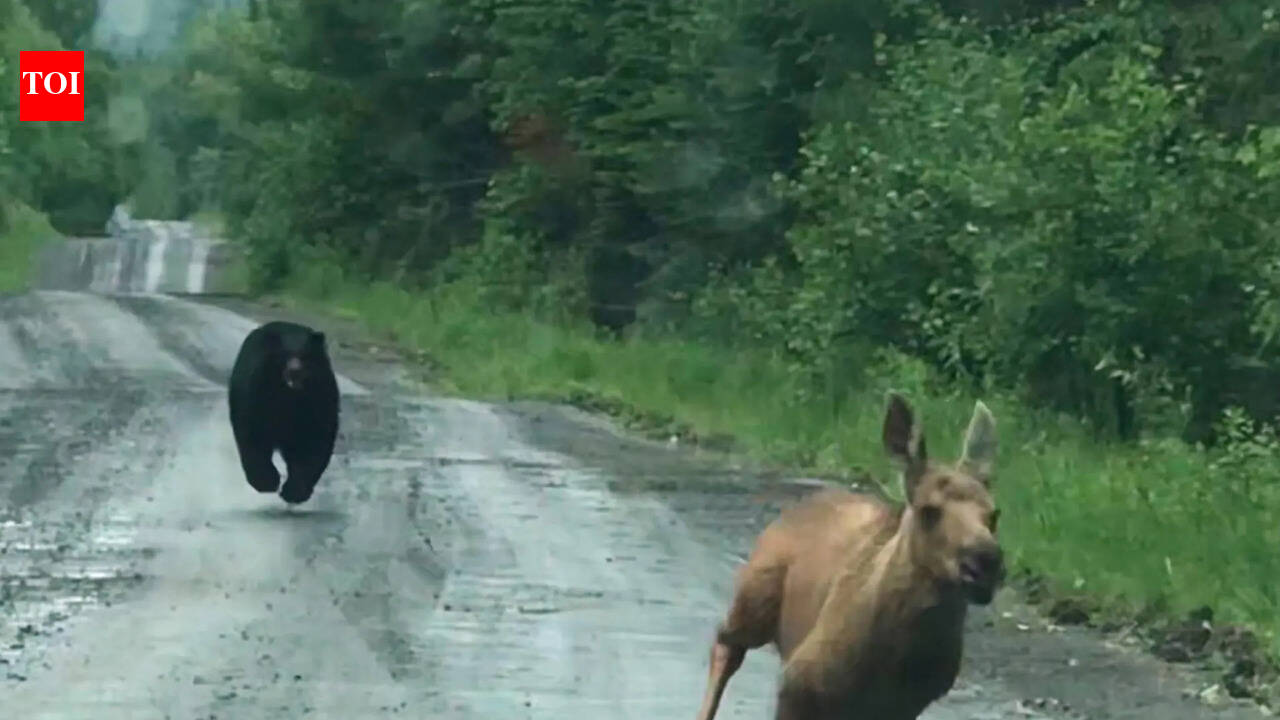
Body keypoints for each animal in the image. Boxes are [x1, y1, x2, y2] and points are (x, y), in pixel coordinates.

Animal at [228, 320, 340, 505]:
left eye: (305, 355)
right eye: (284, 355)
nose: (295, 371)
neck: (289, 396)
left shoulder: (319, 398)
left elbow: (315, 441)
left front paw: (295, 491)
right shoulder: (256, 394)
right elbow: (253, 434)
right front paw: (265, 481)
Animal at [694, 392, 1003, 720]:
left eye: (994, 514)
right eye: (928, 510)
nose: (985, 563)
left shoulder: (903, 706)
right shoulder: (797, 683)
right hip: (755, 596)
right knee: (727, 643)